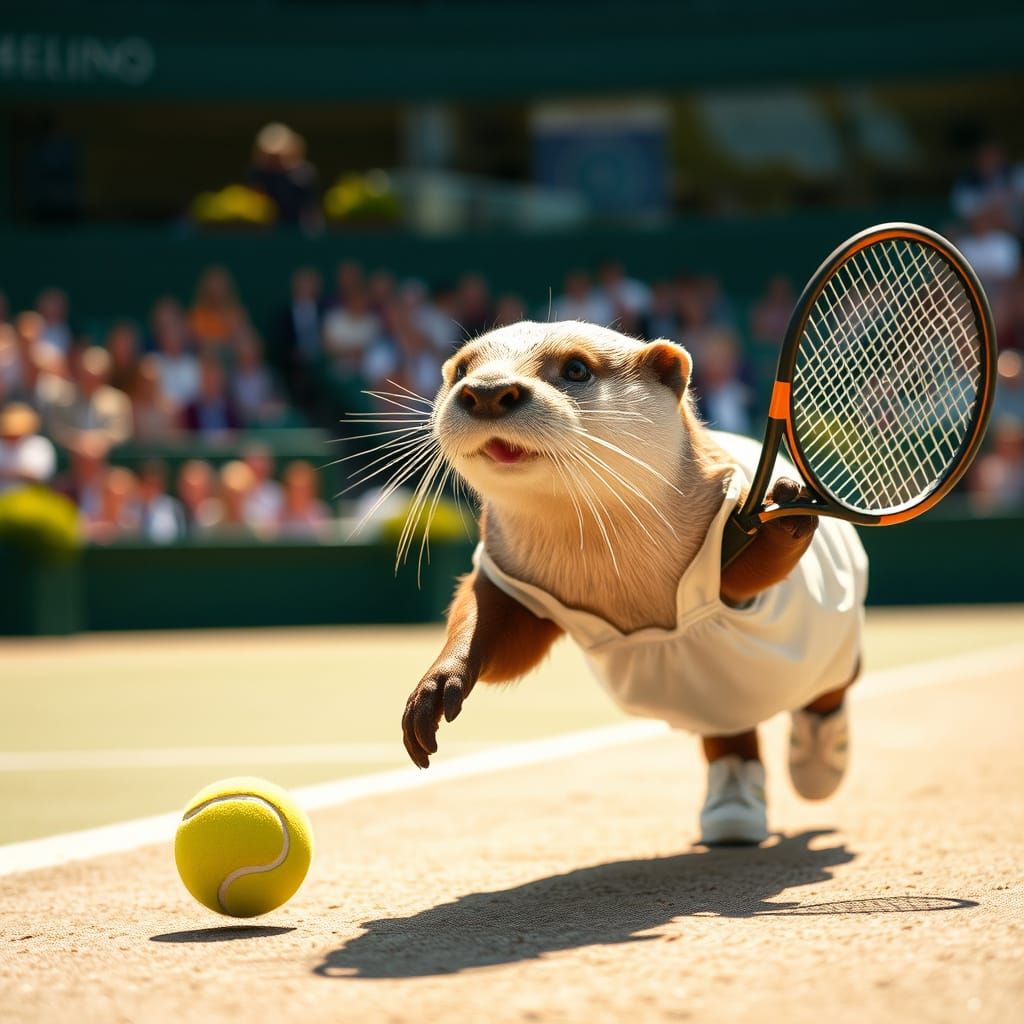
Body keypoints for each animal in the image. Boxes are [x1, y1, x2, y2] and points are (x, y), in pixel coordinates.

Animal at [400, 321, 867, 843]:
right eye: (462, 370)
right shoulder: (513, 578)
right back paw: (735, 808)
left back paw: (821, 763)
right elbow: (497, 630)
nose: (486, 390)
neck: (616, 574)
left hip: (824, 646)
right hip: (718, 698)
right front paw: (438, 682)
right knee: (731, 734)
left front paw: (784, 513)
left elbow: (747, 577)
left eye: (576, 368)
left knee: (832, 690)